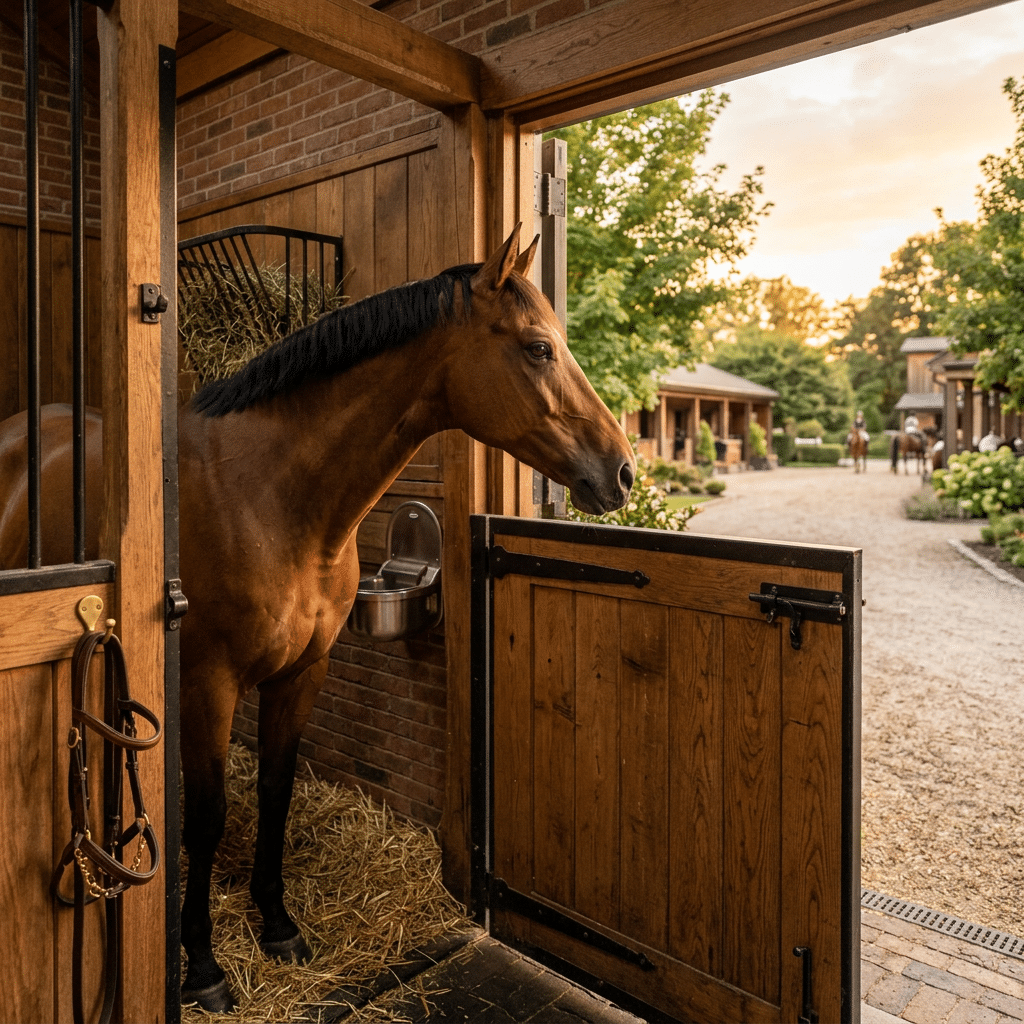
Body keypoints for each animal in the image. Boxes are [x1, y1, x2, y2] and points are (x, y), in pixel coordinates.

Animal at [0, 225, 636, 1013]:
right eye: (539, 347)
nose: (622, 472)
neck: (270, 496)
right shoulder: (208, 685)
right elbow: (206, 816)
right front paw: (201, 965)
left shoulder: (304, 672)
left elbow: (276, 792)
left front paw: (277, 925)